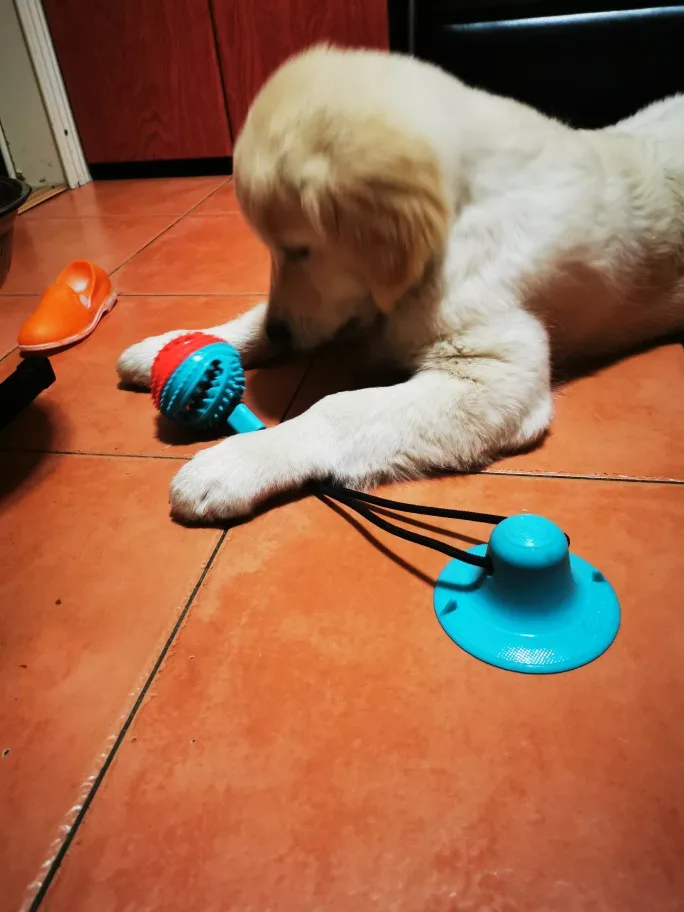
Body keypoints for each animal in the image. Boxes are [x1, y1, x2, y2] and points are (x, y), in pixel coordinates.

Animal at [117, 45, 684, 521]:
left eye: (298, 249)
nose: (282, 334)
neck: (458, 215)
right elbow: (254, 318)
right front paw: (169, 346)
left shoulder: (496, 376)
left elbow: (339, 408)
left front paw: (239, 461)